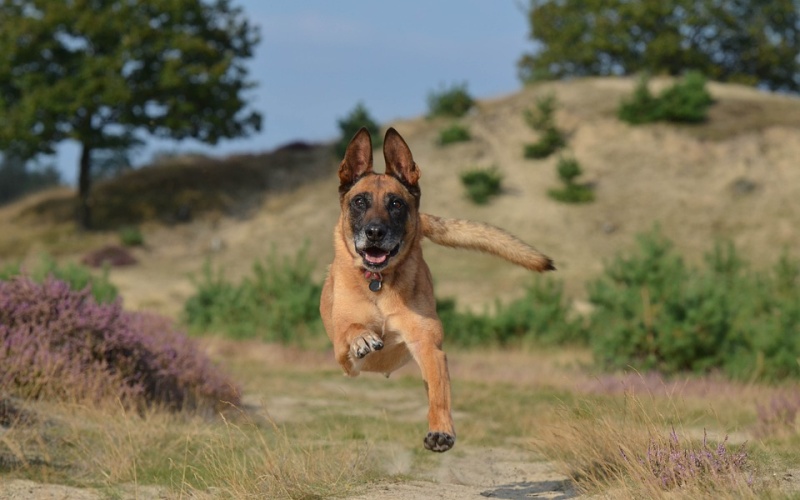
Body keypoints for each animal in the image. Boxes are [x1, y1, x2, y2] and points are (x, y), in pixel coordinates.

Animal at [316, 126, 552, 454]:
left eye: (396, 204)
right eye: (360, 202)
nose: (375, 232)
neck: (379, 283)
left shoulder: (428, 347)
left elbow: (439, 395)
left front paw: (441, 431)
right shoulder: (343, 355)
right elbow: (352, 329)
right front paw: (363, 337)